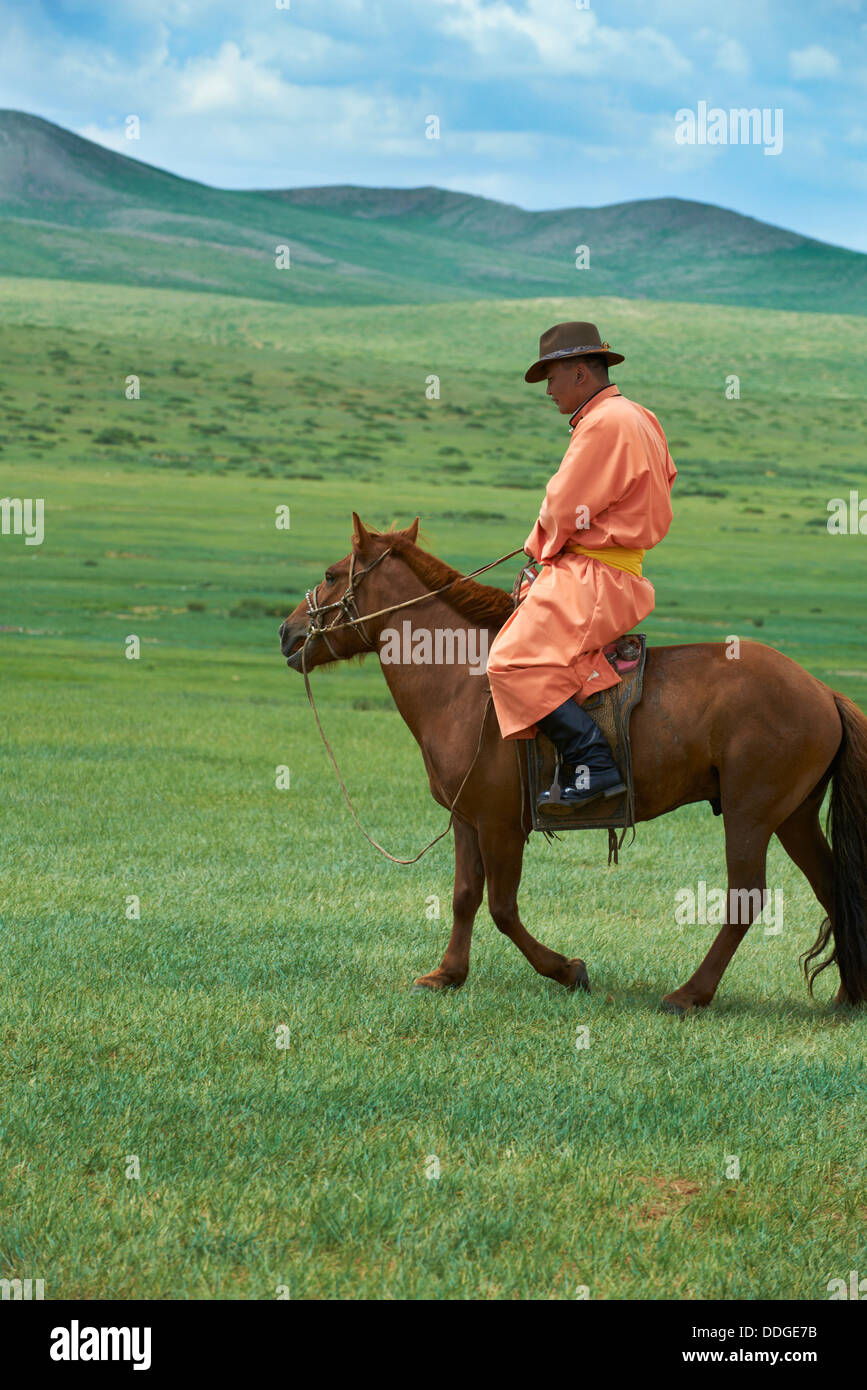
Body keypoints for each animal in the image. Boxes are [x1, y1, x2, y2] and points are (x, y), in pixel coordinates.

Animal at [280, 517, 867, 1017]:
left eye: (330, 575)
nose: (288, 633)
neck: (462, 683)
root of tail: (822, 691)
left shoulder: (500, 826)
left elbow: (502, 908)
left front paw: (567, 970)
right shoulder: (468, 820)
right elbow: (465, 897)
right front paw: (447, 975)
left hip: (751, 815)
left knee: (746, 899)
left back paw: (690, 994)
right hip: (793, 817)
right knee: (830, 885)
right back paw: (848, 996)